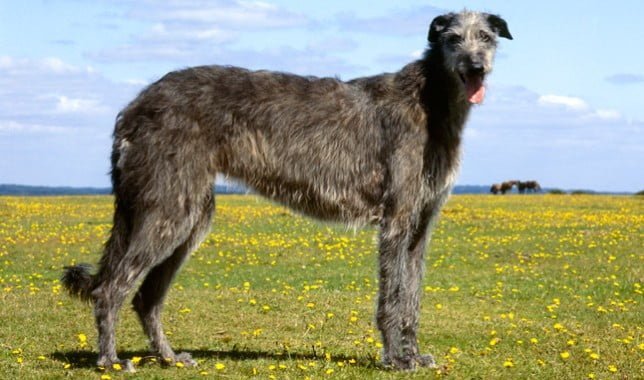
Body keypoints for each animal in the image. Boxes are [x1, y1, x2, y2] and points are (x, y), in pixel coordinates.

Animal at [61, 9, 512, 372]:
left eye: (485, 37)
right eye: (453, 38)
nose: (476, 67)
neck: (430, 99)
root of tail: (133, 107)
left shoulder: (420, 226)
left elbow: (412, 297)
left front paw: (414, 354)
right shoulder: (396, 220)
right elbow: (392, 296)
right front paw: (395, 359)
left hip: (190, 214)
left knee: (146, 298)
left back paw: (170, 357)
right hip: (168, 209)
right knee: (111, 289)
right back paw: (109, 360)